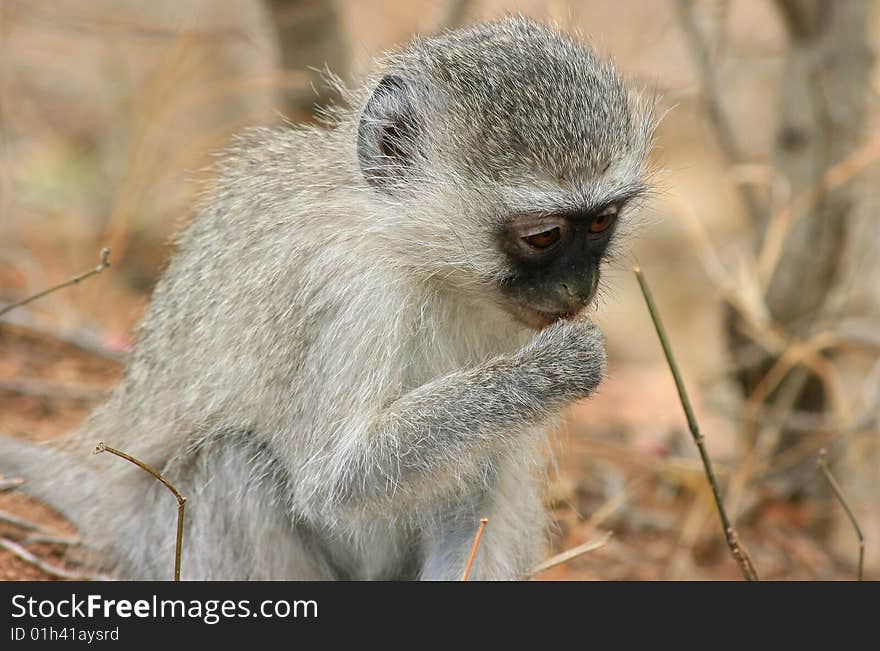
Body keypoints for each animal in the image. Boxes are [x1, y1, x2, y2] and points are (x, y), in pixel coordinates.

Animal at [0, 17, 652, 580]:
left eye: (601, 224)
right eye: (544, 236)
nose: (577, 290)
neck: (424, 261)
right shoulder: (352, 295)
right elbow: (335, 478)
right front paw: (555, 369)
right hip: (160, 541)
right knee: (232, 460)